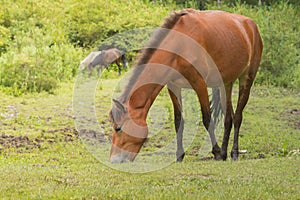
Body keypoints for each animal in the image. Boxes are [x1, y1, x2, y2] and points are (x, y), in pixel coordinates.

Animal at [109, 8, 262, 163]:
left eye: (118, 128)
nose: (114, 160)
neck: (179, 45)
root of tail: (251, 25)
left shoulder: (199, 83)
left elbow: (207, 119)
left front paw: (217, 152)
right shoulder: (173, 86)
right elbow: (178, 121)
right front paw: (179, 155)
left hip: (246, 79)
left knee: (237, 117)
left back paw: (234, 153)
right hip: (226, 84)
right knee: (228, 118)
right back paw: (225, 153)